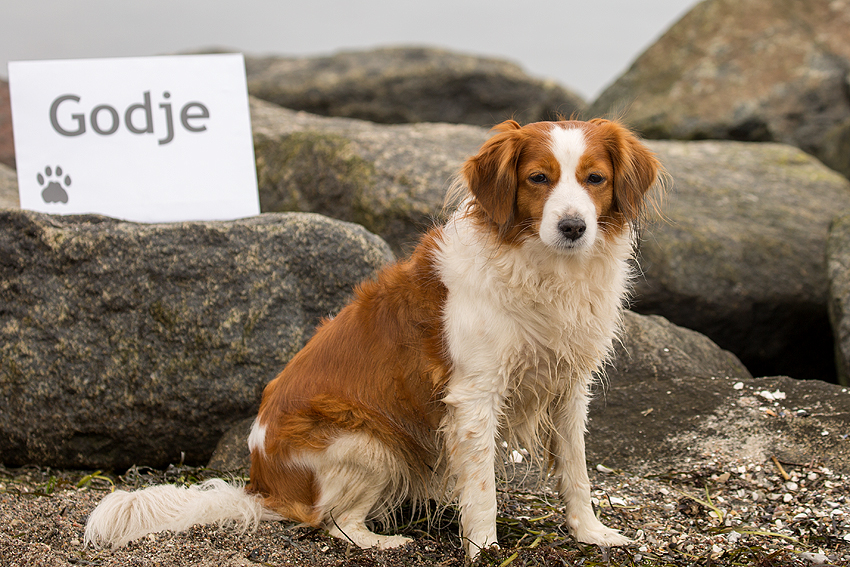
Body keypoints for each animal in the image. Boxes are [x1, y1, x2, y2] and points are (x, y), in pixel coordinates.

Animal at [83, 118, 660, 560]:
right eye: (539, 178)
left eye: (594, 179)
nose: (573, 227)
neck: (543, 270)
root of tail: (260, 482)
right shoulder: (474, 397)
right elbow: (481, 490)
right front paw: (484, 549)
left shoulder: (568, 388)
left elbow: (576, 472)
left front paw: (592, 534)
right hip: (370, 442)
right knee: (333, 521)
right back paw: (383, 542)